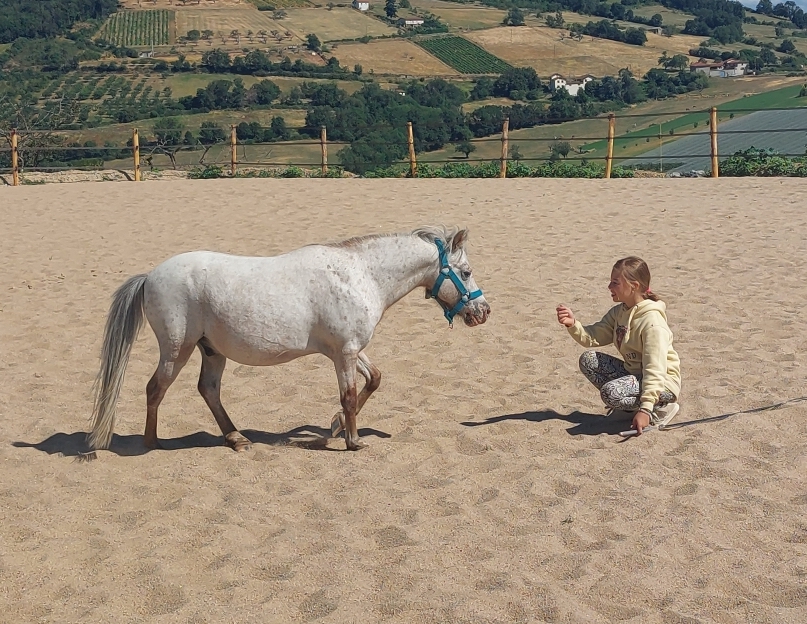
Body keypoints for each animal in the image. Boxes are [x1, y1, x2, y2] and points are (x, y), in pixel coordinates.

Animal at [88, 225, 491, 453]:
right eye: (466, 271)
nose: (483, 312)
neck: (361, 275)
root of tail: (150, 276)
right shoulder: (345, 352)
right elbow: (348, 395)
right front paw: (353, 441)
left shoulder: (347, 350)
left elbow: (373, 380)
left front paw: (334, 427)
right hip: (177, 349)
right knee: (155, 389)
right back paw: (152, 443)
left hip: (212, 351)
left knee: (208, 390)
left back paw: (236, 438)